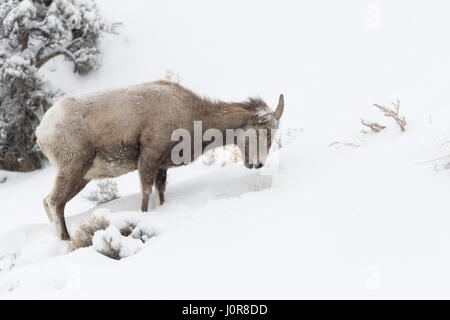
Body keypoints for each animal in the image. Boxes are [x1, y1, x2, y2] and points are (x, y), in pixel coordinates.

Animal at [37, 80, 284, 240]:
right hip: (73, 169)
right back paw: (66, 241)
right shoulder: (148, 159)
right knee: (55, 202)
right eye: (263, 133)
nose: (258, 164)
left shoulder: (161, 168)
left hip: (81, 177)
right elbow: (146, 197)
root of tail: (41, 131)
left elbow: (160, 195)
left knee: (50, 202)